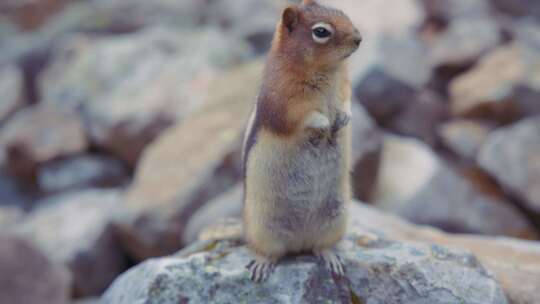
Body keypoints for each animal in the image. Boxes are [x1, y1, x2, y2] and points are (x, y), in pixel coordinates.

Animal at [242, 0, 360, 282]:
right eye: (321, 32)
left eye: (343, 13)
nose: (359, 39)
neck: (326, 70)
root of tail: (298, 244)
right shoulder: (283, 101)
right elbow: (302, 117)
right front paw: (323, 123)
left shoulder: (345, 85)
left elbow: (347, 100)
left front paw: (344, 118)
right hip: (264, 226)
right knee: (269, 250)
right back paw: (262, 263)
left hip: (336, 216)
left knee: (321, 246)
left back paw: (332, 257)